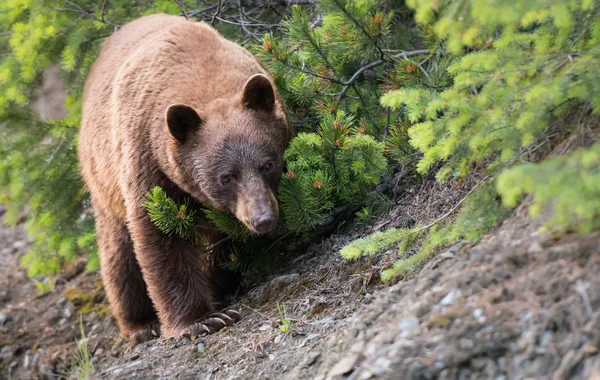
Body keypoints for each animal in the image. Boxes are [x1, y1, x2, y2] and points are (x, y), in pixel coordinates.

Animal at [77, 14, 290, 342]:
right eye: (226, 177)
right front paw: (201, 319)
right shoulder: (148, 159)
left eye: (268, 164)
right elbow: (160, 235)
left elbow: (224, 239)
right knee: (118, 253)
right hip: (102, 177)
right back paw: (140, 323)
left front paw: (218, 286)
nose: (263, 219)